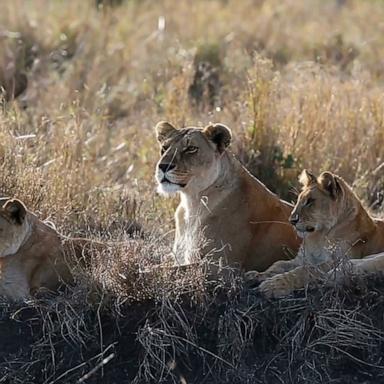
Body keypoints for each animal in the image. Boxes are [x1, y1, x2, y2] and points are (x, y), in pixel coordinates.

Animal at [153, 121, 300, 272]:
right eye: (164, 148)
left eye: (191, 148)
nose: (163, 166)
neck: (192, 201)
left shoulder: (221, 267)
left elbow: (159, 270)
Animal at [256, 170, 384, 298]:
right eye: (298, 200)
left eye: (310, 201)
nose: (291, 220)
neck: (318, 237)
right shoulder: (302, 259)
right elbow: (278, 264)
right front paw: (256, 275)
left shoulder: (338, 260)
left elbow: (305, 270)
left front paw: (273, 285)